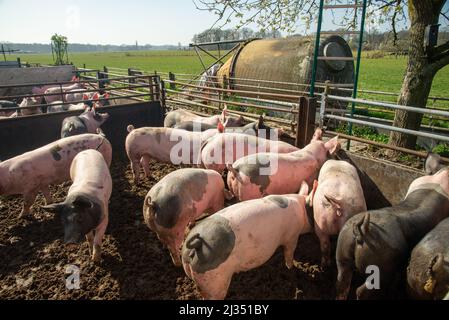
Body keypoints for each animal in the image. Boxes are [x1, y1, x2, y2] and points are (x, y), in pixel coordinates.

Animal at [181, 182, 312, 300]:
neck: (299, 206)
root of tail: (197, 244)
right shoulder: (292, 236)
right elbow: (289, 254)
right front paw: (292, 267)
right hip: (215, 281)